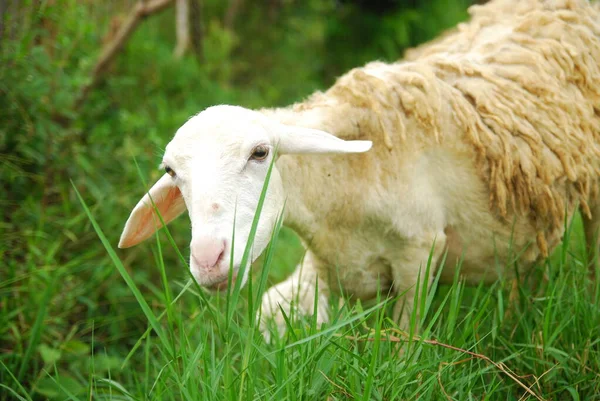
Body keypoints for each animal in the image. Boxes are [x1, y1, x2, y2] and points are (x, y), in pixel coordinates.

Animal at [119, 0, 600, 338]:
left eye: (259, 152)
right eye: (172, 172)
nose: (207, 260)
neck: (343, 184)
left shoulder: (419, 255)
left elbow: (405, 343)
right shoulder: (328, 268)